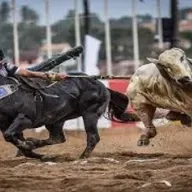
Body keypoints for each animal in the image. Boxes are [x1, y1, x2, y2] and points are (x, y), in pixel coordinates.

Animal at [0, 74, 137, 160]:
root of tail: (104, 87)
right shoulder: (6, 125)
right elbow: (13, 138)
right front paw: (31, 150)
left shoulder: (25, 119)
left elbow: (10, 136)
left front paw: (28, 147)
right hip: (55, 120)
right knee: (57, 138)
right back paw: (33, 142)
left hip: (90, 115)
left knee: (93, 137)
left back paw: (82, 157)